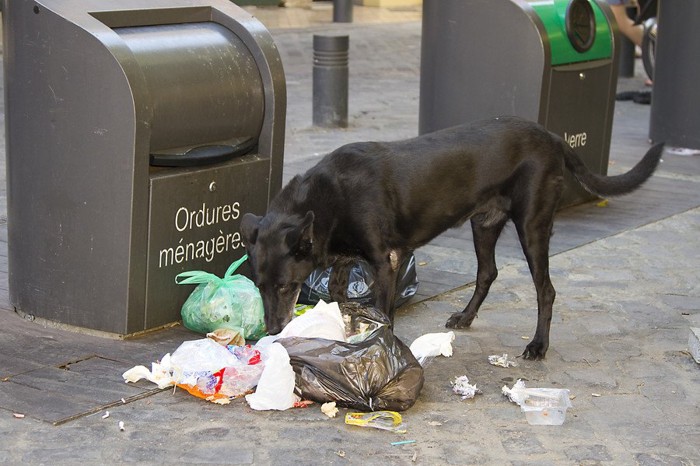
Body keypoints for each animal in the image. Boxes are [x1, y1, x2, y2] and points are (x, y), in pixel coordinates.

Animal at [241, 115, 660, 356]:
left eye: (285, 287)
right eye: (258, 285)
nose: (273, 330)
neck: (330, 197)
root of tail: (552, 137)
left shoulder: (385, 261)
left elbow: (384, 315)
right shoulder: (343, 263)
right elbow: (339, 297)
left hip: (532, 225)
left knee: (546, 290)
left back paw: (538, 345)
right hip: (484, 223)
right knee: (488, 272)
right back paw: (466, 317)